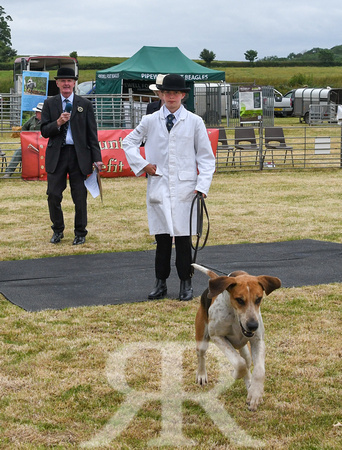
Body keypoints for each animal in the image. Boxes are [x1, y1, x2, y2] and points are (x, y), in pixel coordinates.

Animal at [192, 264, 280, 412]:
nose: (253, 325)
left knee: (247, 362)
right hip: (202, 338)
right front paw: (234, 374)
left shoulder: (258, 340)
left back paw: (250, 386)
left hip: (245, 349)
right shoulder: (217, 336)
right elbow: (239, 364)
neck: (234, 316)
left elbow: (259, 371)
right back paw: (202, 375)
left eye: (258, 299)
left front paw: (255, 394)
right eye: (240, 300)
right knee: (202, 355)